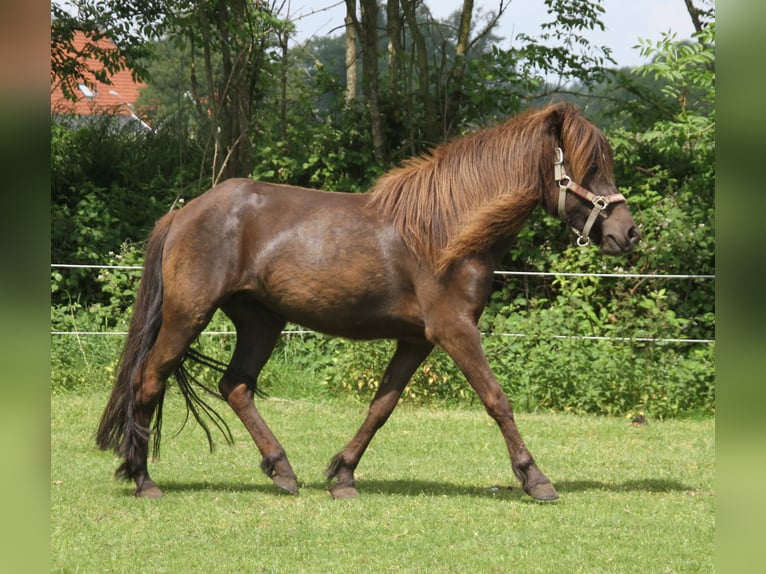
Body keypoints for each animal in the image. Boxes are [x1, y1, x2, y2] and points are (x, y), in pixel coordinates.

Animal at [96, 101, 640, 502]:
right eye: (589, 167)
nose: (628, 233)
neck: (445, 230)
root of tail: (183, 214)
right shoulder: (455, 330)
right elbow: (496, 400)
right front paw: (535, 478)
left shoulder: (417, 340)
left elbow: (382, 406)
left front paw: (343, 475)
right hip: (187, 316)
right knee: (149, 381)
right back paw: (143, 479)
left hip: (261, 321)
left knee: (235, 386)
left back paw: (282, 470)